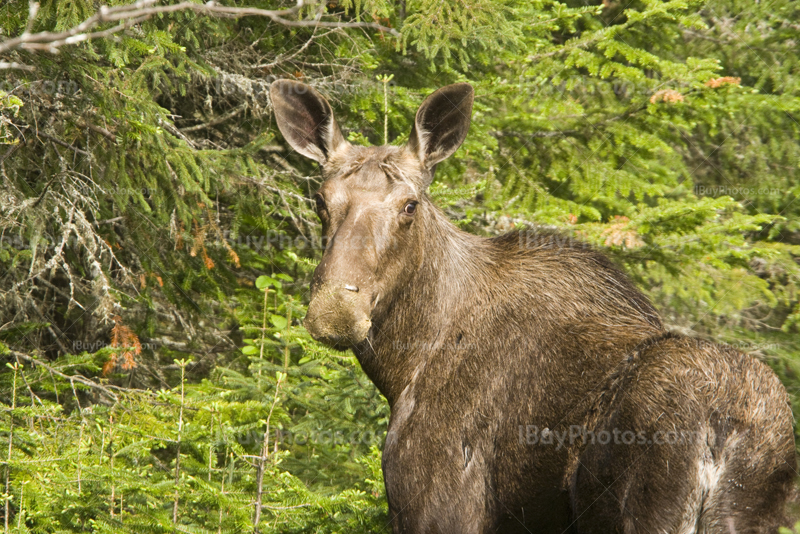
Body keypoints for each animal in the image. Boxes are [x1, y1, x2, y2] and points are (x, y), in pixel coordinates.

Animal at [268, 80, 792, 534]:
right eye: (320, 201)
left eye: (410, 205)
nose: (336, 311)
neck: (405, 365)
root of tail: (721, 427)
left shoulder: (437, 509)